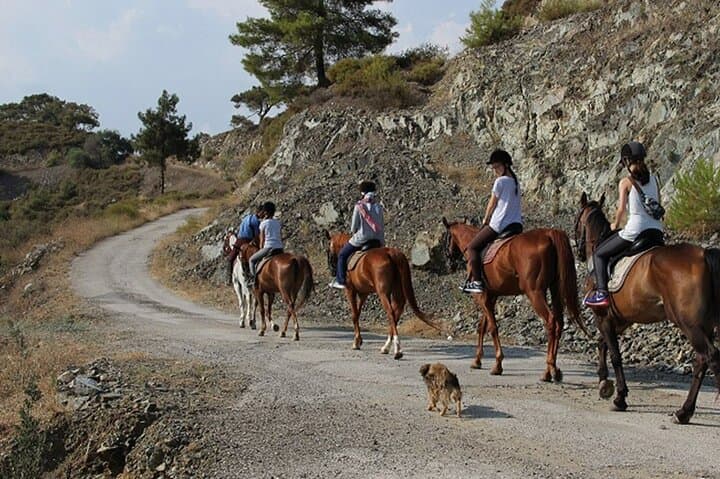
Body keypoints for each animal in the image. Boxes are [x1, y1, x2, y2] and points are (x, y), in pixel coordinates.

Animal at [442, 217, 590, 382]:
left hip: (534, 292)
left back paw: (548, 369)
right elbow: (482, 326)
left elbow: (492, 328)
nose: (448, 263)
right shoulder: (491, 297)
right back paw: (553, 370)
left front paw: (498, 364)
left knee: (551, 321)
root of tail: (549, 234)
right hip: (555, 289)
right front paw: (477, 360)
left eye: (446, 238)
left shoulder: (482, 297)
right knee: (559, 323)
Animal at [575, 192, 720, 424]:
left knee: (710, 356)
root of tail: (703, 255)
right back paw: (684, 412)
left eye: (577, 219)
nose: (579, 252)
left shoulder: (603, 317)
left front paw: (619, 397)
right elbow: (602, 343)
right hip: (704, 325)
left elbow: (615, 354)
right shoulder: (621, 319)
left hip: (689, 323)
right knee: (701, 361)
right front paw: (604, 382)